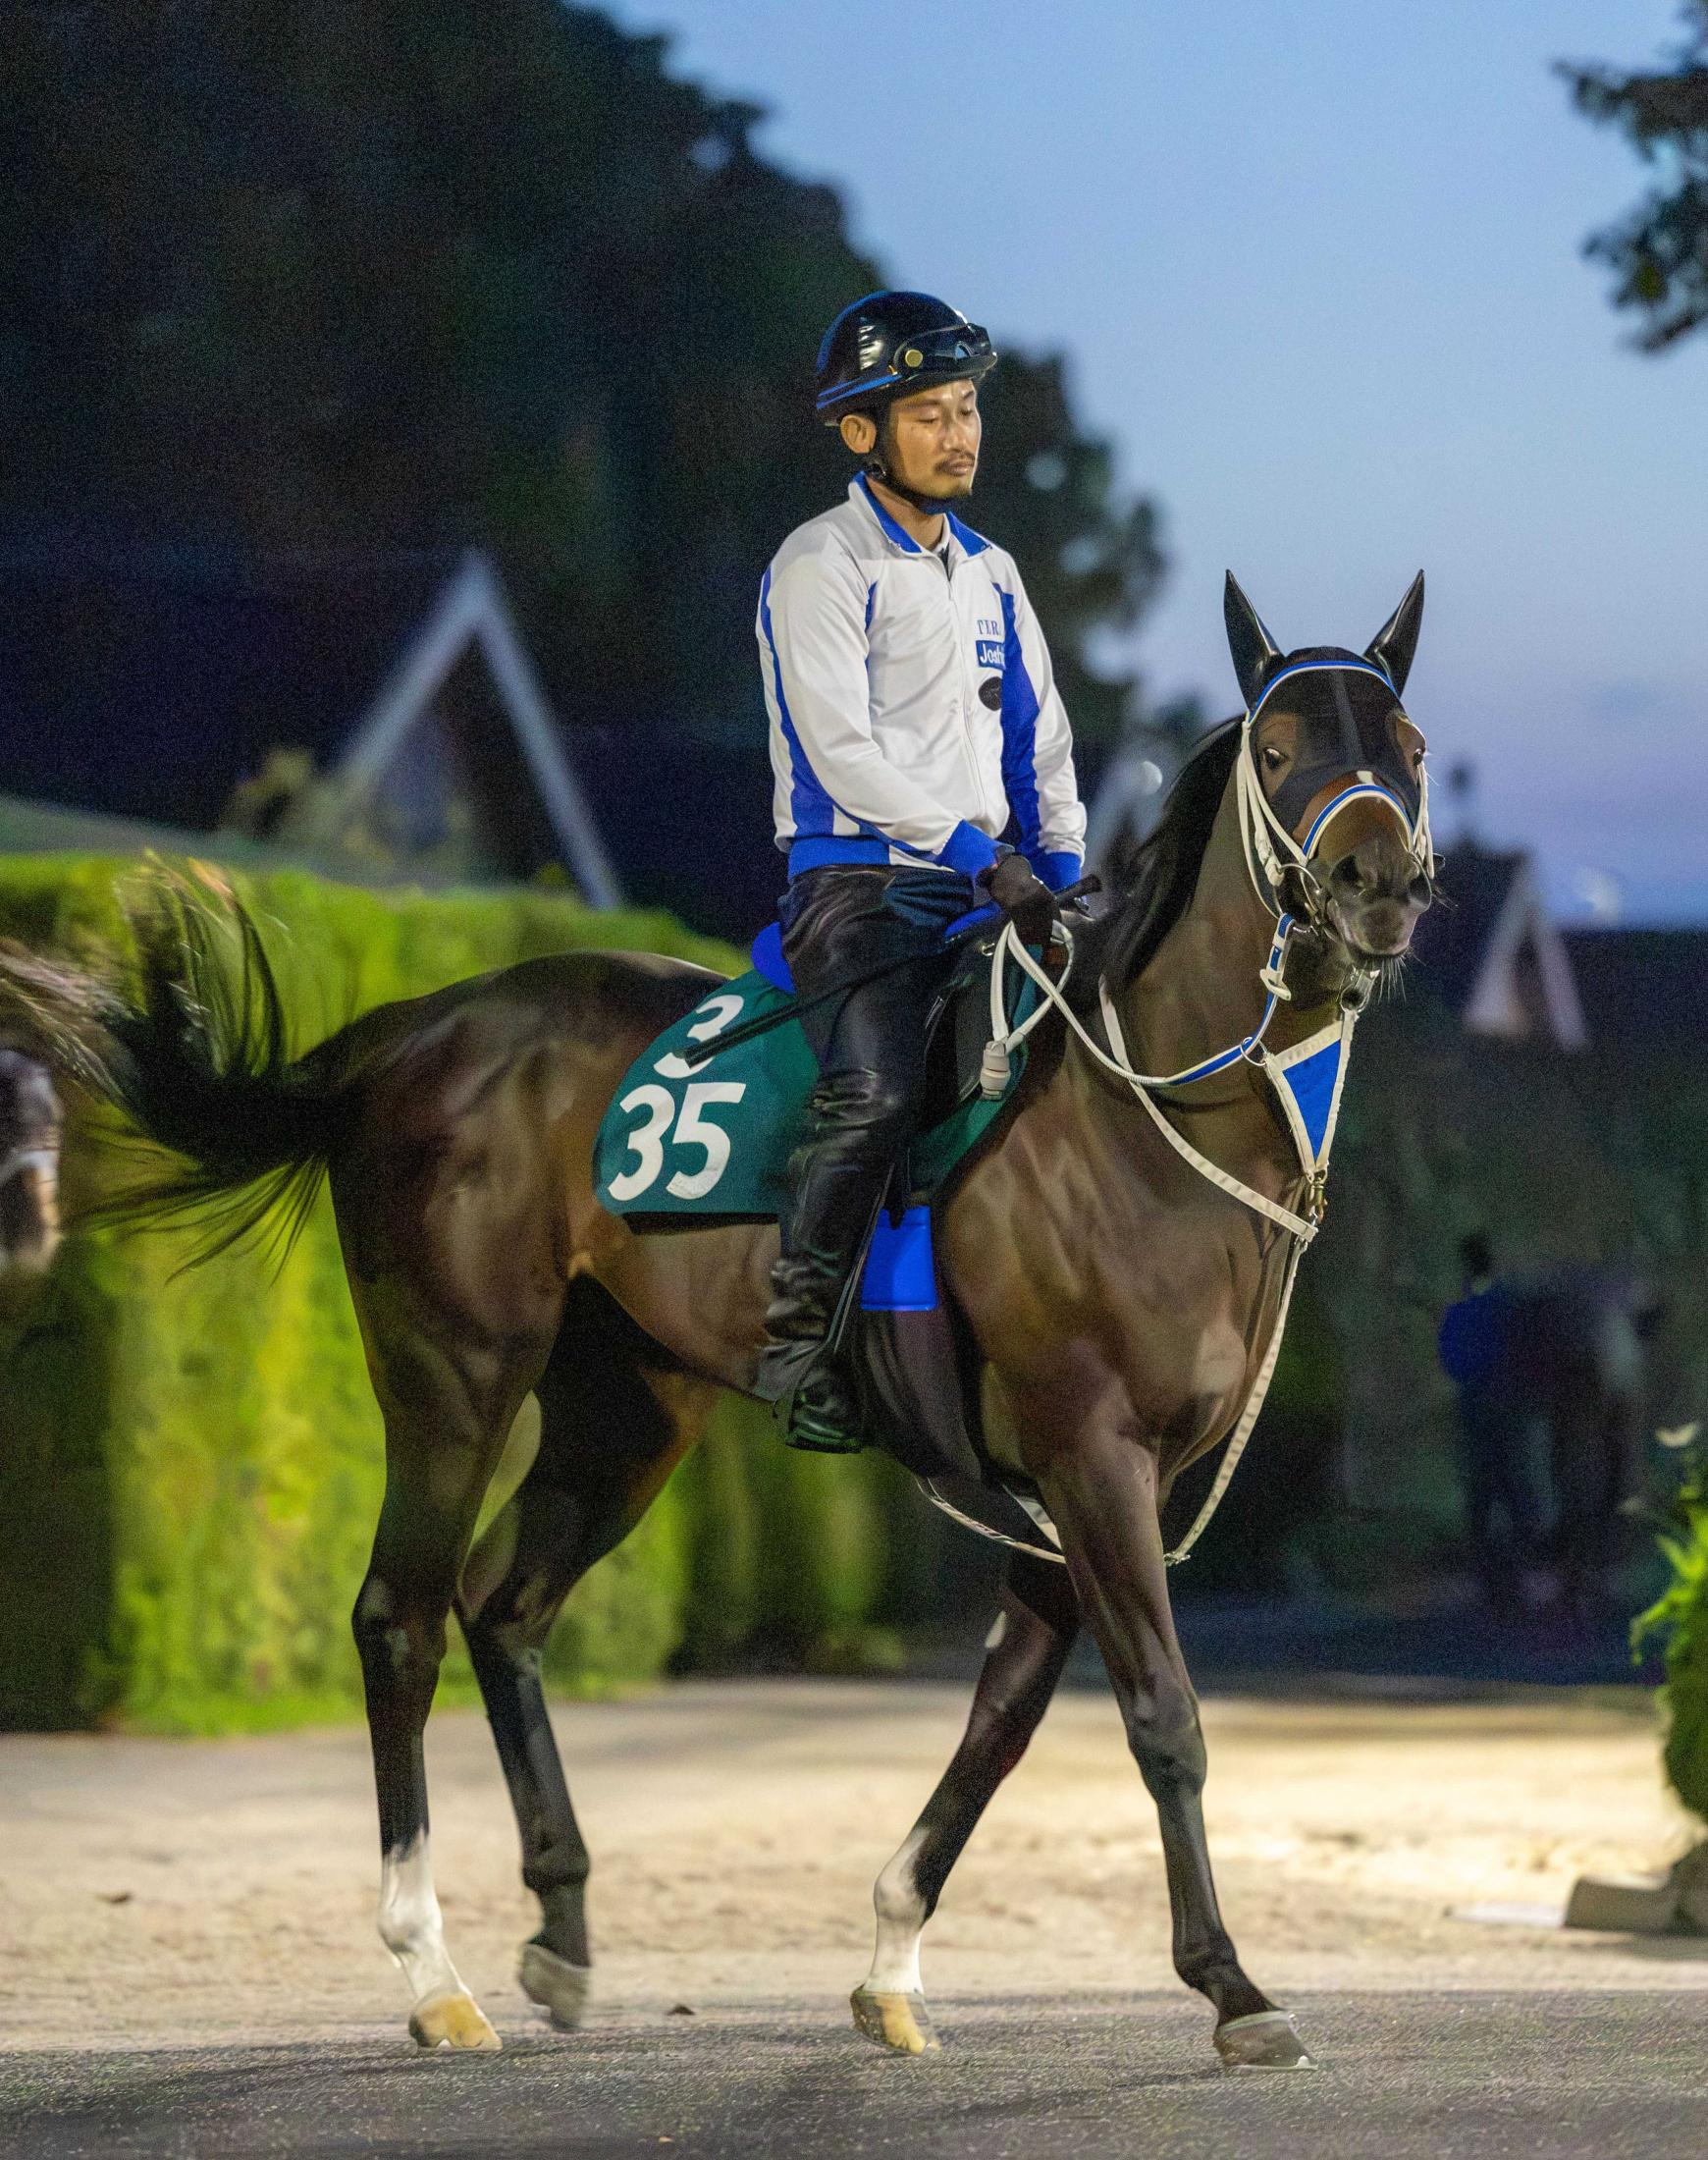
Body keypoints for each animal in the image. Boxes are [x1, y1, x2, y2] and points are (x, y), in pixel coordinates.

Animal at [0, 573, 1433, 2070]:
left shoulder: (1091, 1490)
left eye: (1407, 743)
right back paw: (431, 1972)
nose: (1377, 884)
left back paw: (562, 1930)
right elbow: (1162, 1716)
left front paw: (893, 1960)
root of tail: (410, 1033)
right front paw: (1234, 1987)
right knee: (401, 1616)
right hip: (454, 1373)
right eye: (1280, 748)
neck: (1147, 1113)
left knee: (505, 1607)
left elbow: (1003, 1720)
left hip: (625, 1409)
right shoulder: (1089, 1454)